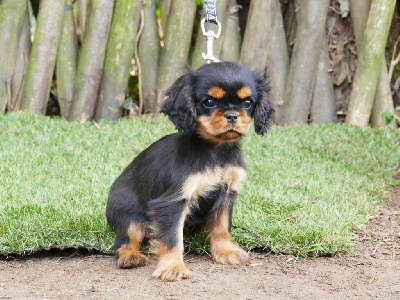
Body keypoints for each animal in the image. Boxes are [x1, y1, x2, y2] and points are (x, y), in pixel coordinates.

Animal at [106, 61, 274, 282]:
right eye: (209, 102)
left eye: (247, 103)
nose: (232, 115)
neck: (216, 150)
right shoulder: (173, 201)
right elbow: (172, 237)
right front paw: (172, 267)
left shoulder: (227, 192)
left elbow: (222, 225)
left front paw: (226, 250)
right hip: (128, 214)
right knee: (125, 239)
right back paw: (130, 256)